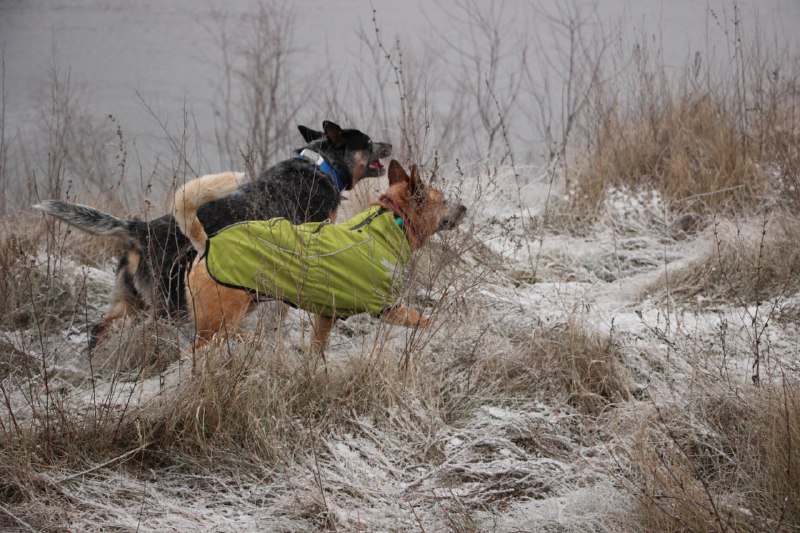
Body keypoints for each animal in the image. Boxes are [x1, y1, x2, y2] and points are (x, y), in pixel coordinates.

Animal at [36, 120, 392, 344]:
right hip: (172, 306)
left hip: (130, 301)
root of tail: (142, 229)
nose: (389, 144)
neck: (321, 164)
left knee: (99, 329)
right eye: (368, 142)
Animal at [172, 161, 466, 354]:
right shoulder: (389, 309)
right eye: (443, 201)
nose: (464, 207)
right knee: (198, 349)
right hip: (221, 320)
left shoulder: (326, 317)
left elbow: (317, 348)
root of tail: (208, 243)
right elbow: (425, 322)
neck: (391, 221)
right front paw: (449, 330)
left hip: (245, 304)